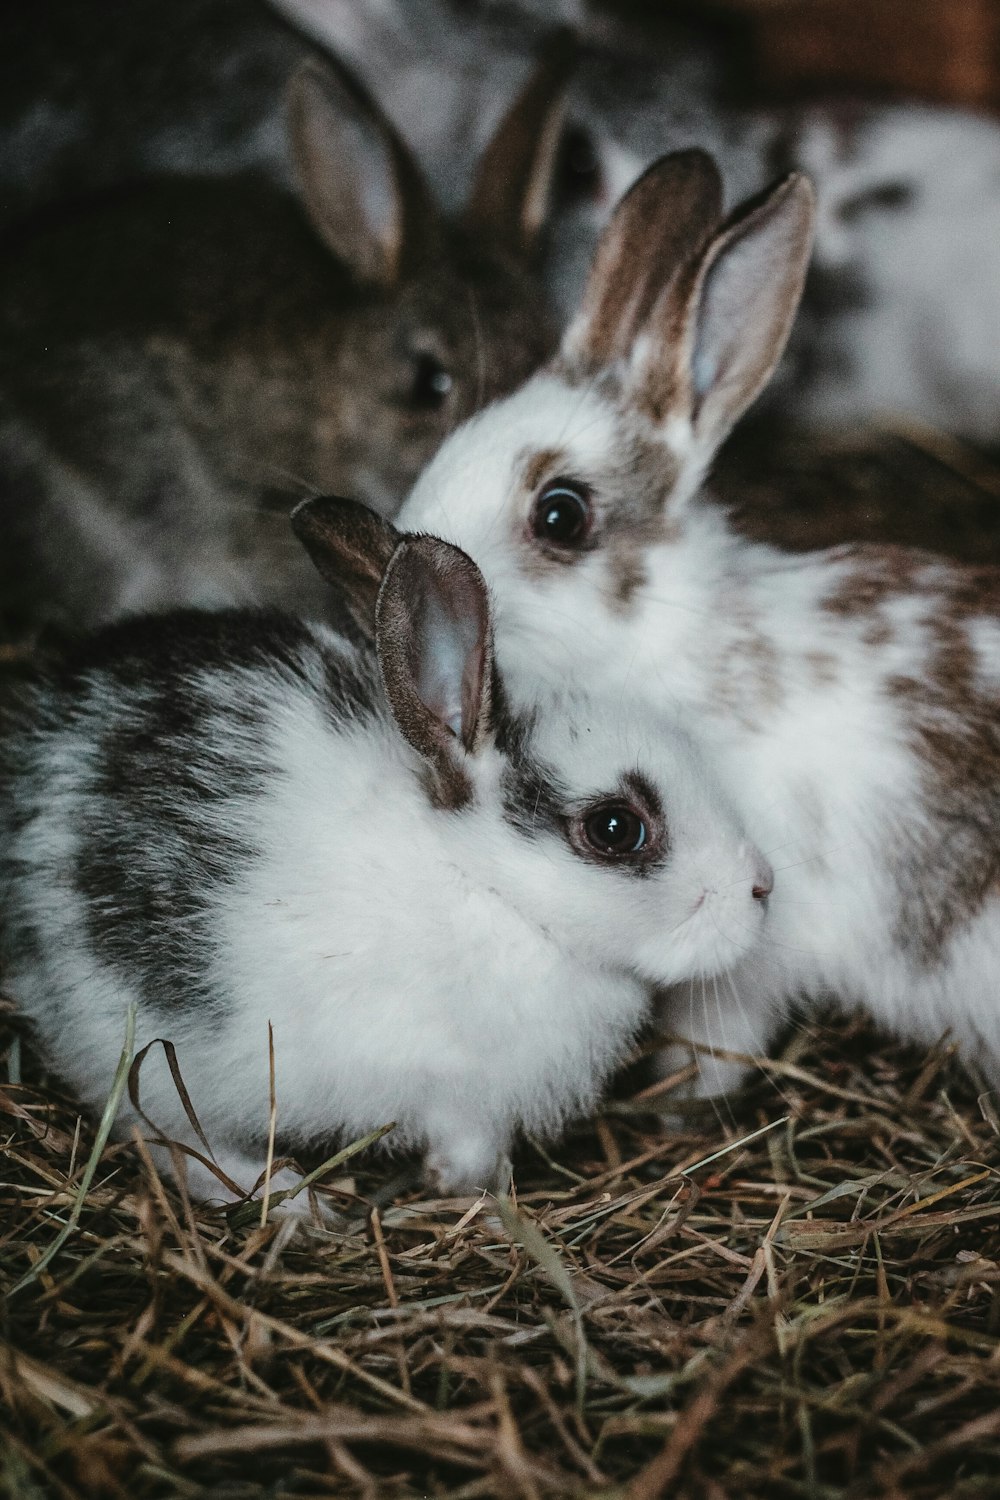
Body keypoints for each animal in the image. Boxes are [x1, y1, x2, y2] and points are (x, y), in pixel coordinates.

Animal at [0, 498, 773, 1200]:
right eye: (616, 829)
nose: (762, 889)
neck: (487, 886)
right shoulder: (454, 1089)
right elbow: (467, 1143)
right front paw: (471, 1191)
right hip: (145, 1040)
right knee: (169, 1137)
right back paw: (293, 1201)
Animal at [395, 149, 1000, 1092]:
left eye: (561, 515)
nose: (415, 554)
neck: (669, 639)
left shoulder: (762, 935)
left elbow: (720, 1028)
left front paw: (676, 1092)